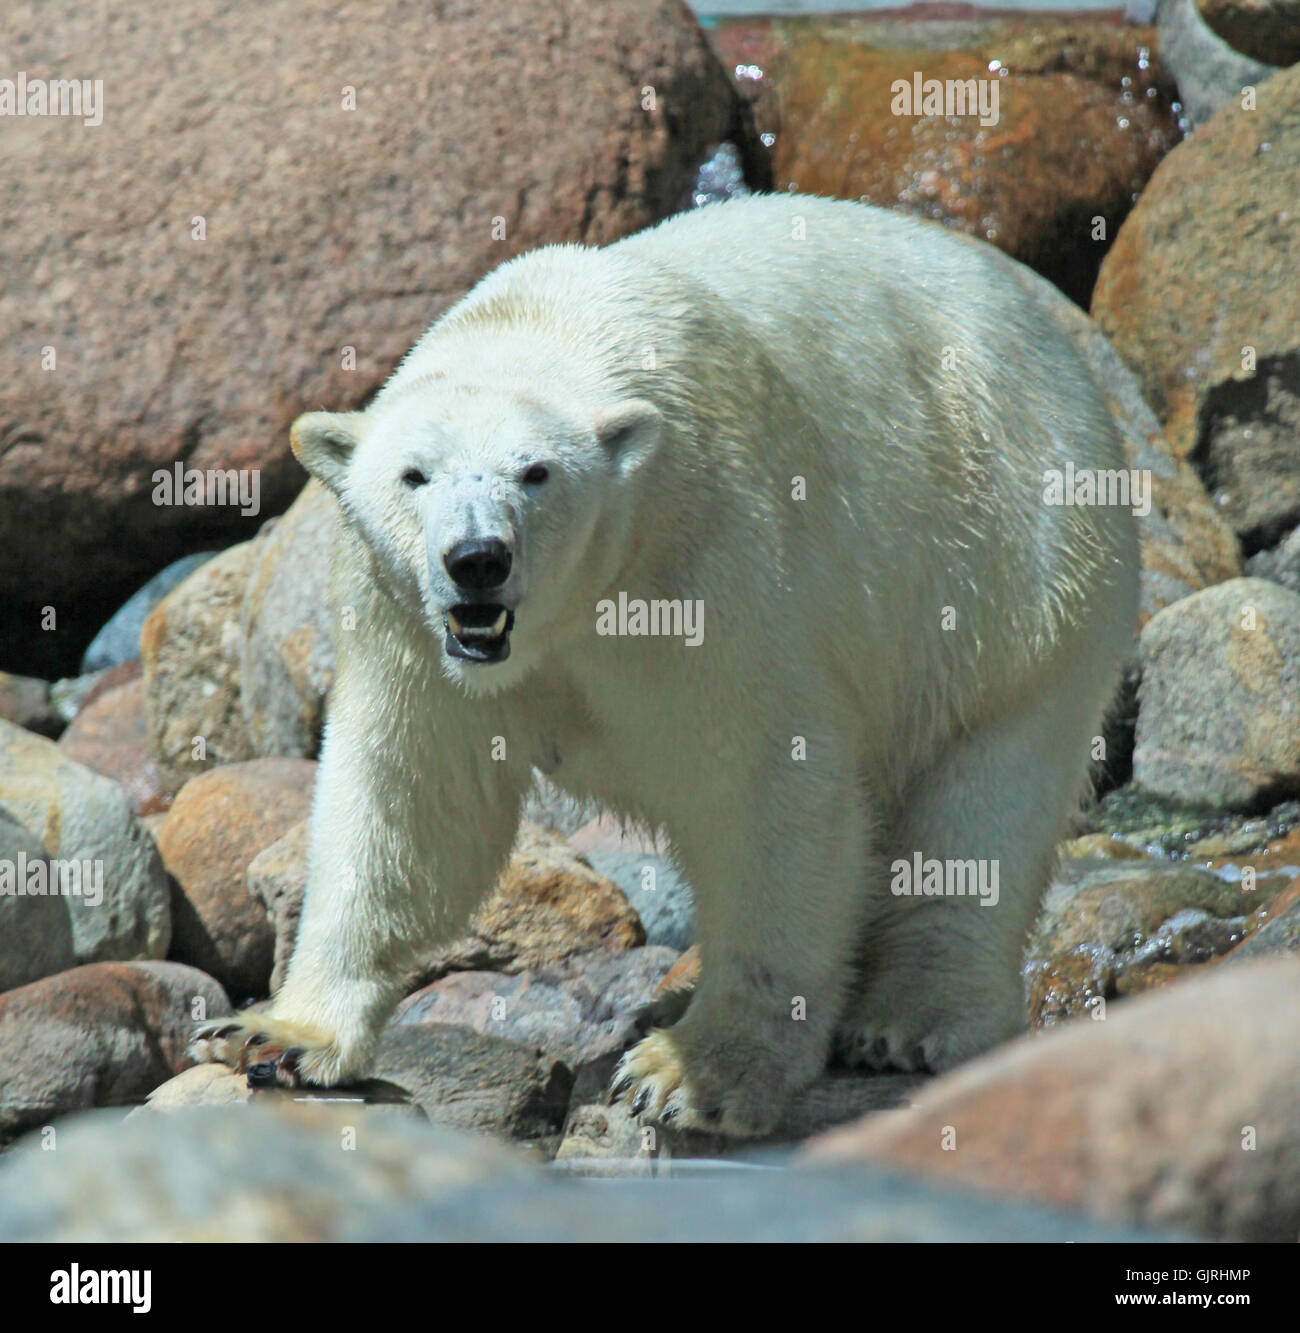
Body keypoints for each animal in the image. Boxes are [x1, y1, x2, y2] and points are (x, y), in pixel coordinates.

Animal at [192, 193, 1139, 1135]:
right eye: (414, 474)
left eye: (535, 472)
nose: (477, 560)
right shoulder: (407, 625)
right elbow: (413, 799)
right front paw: (275, 1033)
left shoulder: (714, 558)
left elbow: (769, 788)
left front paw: (696, 1071)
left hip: (1012, 574)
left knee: (982, 804)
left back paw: (909, 1018)